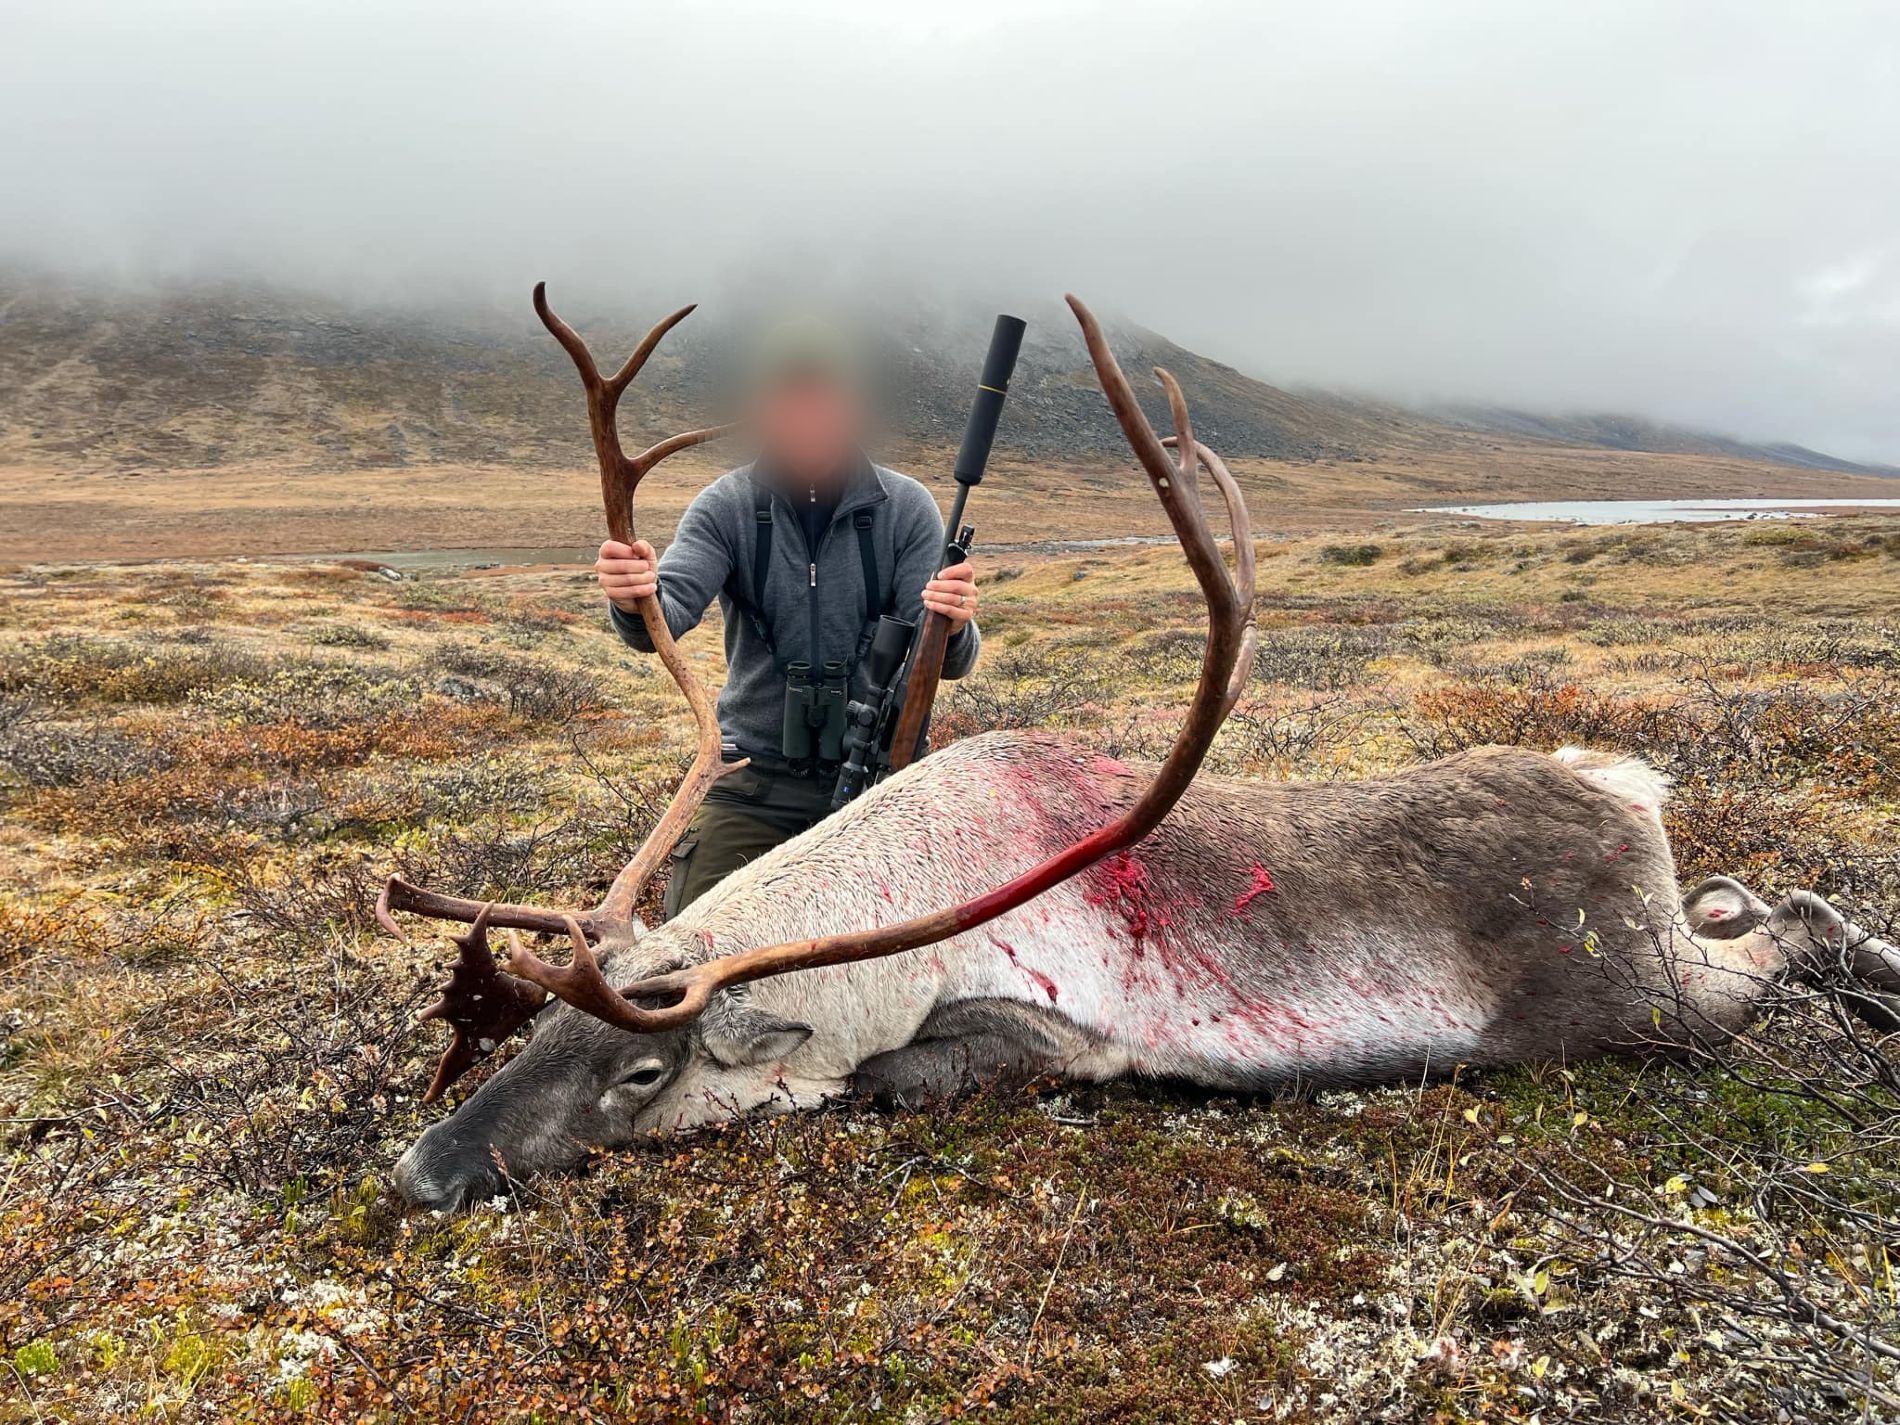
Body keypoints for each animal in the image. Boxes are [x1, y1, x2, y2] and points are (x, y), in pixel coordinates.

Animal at [380, 288, 1900, 1212]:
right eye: (543, 1028)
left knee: (1786, 934)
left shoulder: (1045, 1029)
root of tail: (1624, 784)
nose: (421, 1172)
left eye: (642, 1073)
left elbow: (890, 1080)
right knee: (1757, 896)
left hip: (1641, 996)